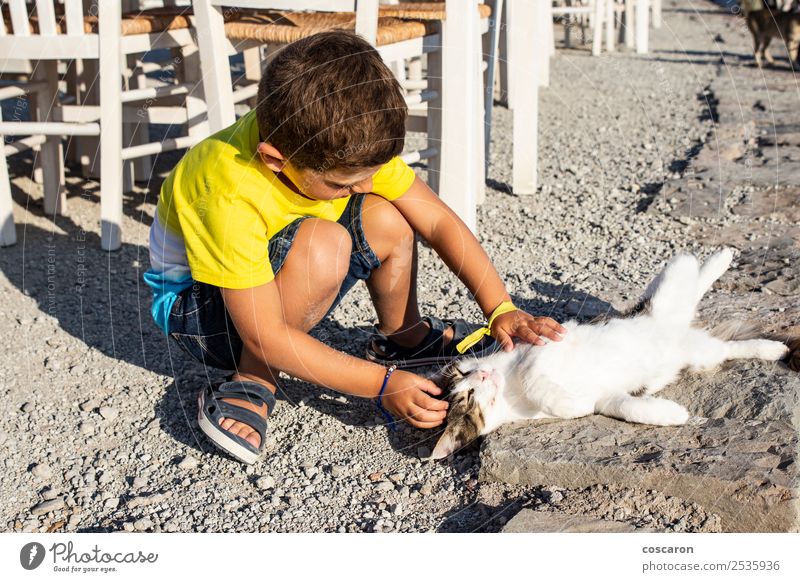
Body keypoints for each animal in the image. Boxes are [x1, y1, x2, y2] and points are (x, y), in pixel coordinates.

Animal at [428, 250, 792, 460]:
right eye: (467, 398)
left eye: (464, 380)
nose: (481, 374)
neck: (510, 391)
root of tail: (674, 327)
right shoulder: (608, 398)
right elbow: (625, 406)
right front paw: (671, 413)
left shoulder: (541, 346)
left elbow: (534, 375)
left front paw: (568, 403)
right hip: (701, 353)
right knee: (727, 345)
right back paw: (773, 349)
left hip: (669, 293)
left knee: (687, 268)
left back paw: (722, 255)